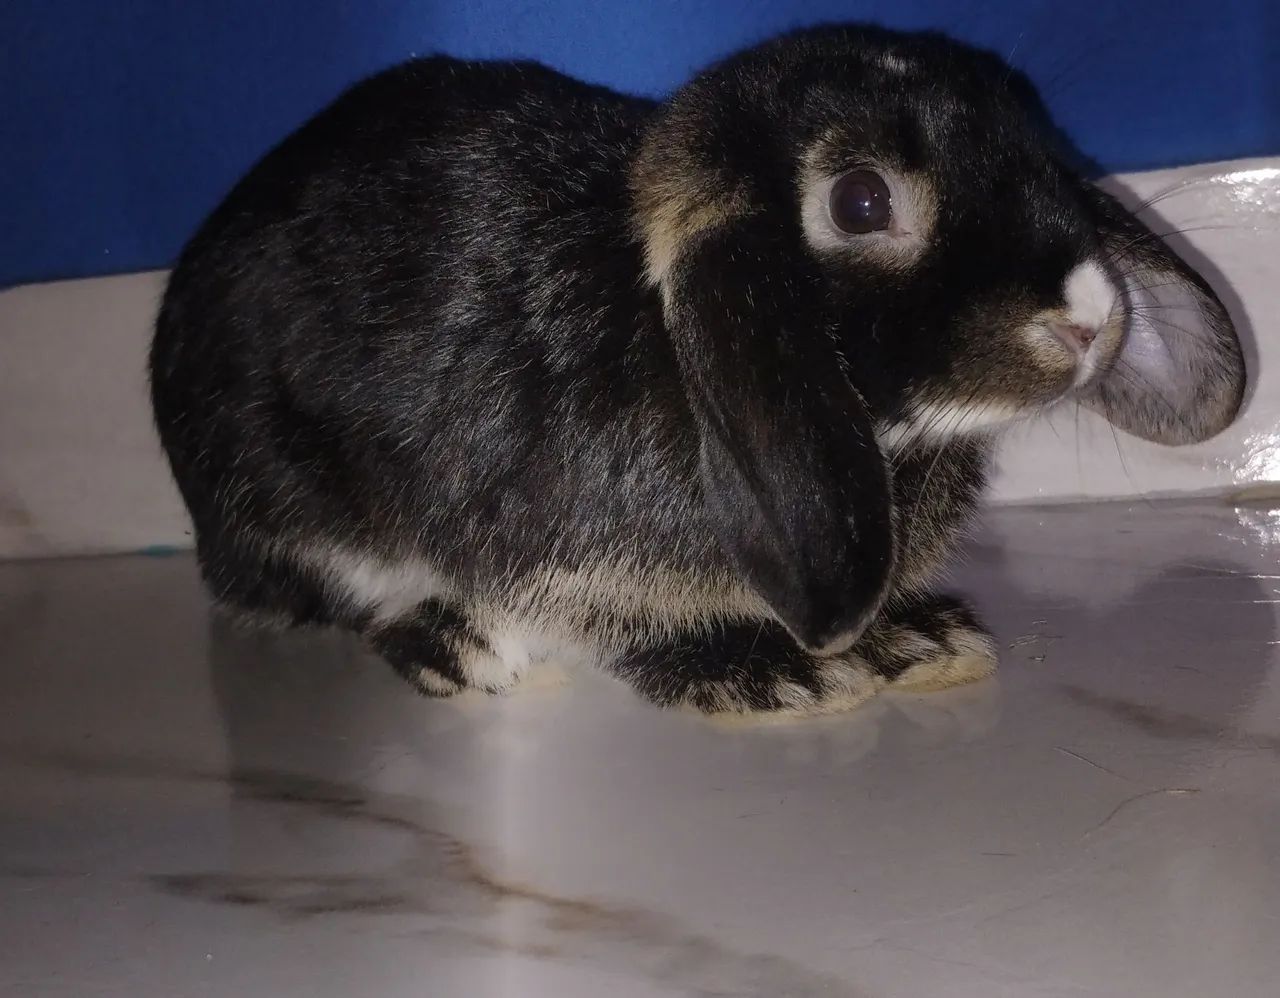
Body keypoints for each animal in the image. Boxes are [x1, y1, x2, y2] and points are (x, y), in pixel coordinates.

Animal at [149, 24, 1246, 715]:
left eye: (1033, 139)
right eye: (859, 203)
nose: (1092, 315)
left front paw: (914, 640)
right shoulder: (559, 557)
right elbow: (604, 618)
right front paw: (770, 675)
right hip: (296, 501)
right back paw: (451, 648)